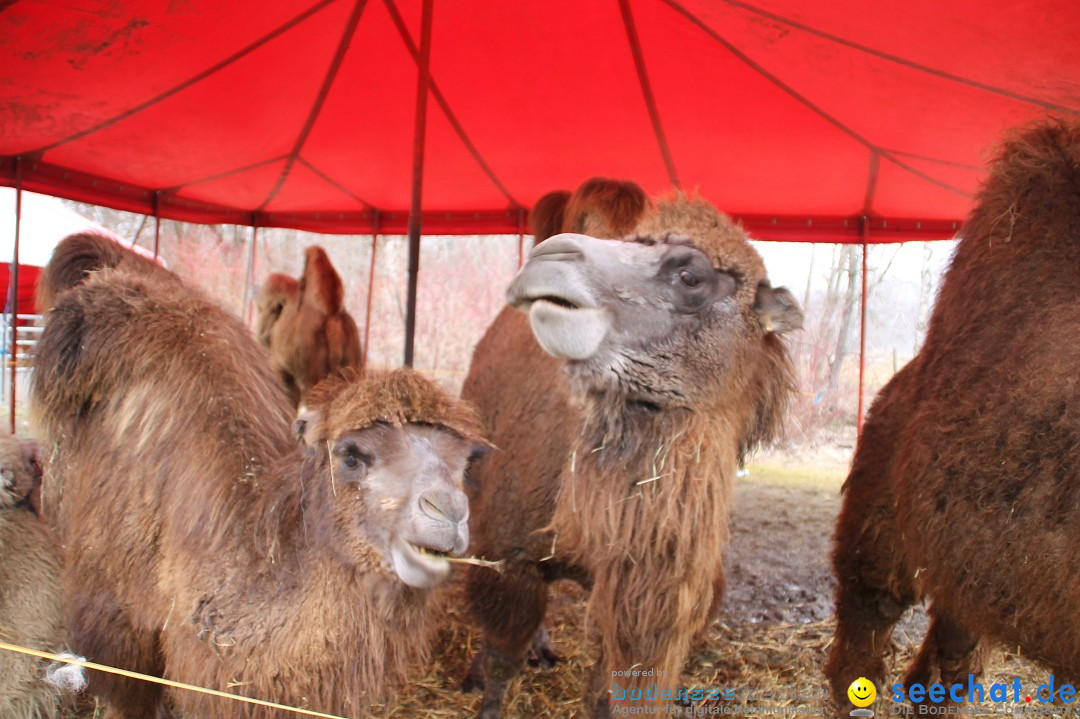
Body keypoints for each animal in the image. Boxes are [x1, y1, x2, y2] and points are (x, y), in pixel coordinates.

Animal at [462, 187, 803, 712]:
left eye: (690, 276)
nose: (549, 259)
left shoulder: (641, 594)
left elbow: (611, 690)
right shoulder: (509, 556)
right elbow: (502, 664)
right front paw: (487, 691)